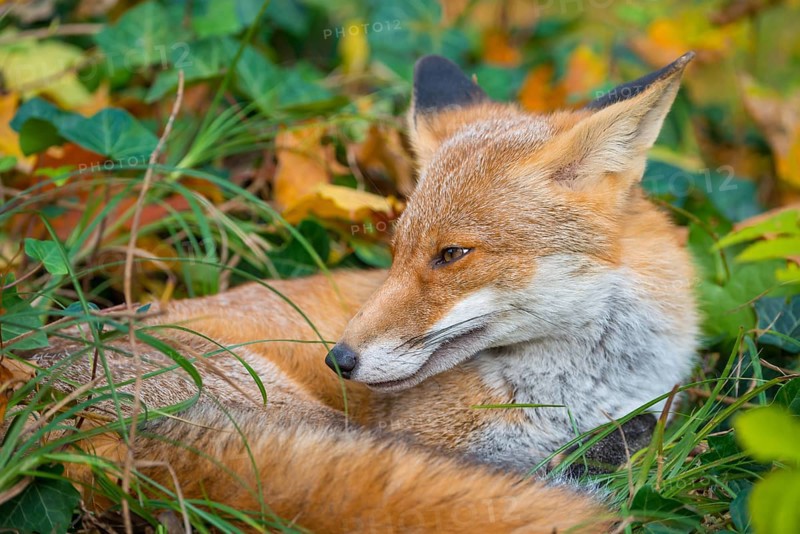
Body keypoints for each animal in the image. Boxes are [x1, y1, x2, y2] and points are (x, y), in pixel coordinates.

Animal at [8, 52, 699, 532]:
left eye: (452, 254)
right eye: (394, 253)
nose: (339, 359)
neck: (588, 386)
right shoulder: (430, 441)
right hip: (293, 413)